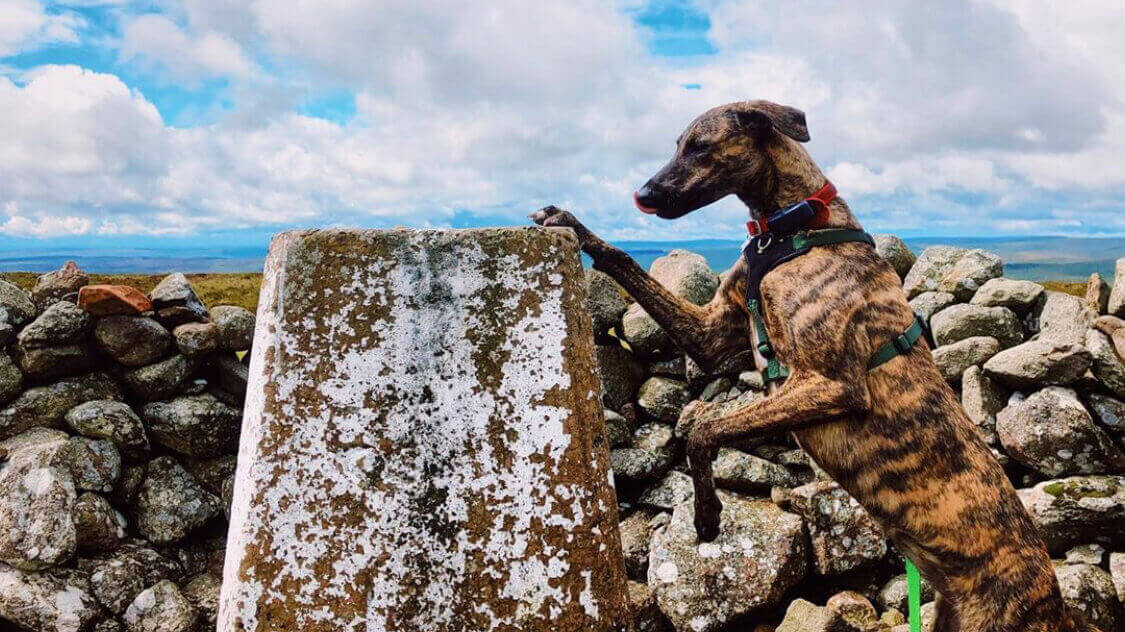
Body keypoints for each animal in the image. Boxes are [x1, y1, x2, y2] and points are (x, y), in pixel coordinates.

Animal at [528, 100, 1098, 625]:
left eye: (700, 146)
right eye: (677, 144)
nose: (642, 195)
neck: (790, 226)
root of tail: (1054, 600)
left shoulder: (830, 384)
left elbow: (703, 431)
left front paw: (708, 513)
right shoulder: (712, 335)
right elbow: (624, 259)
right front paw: (570, 223)